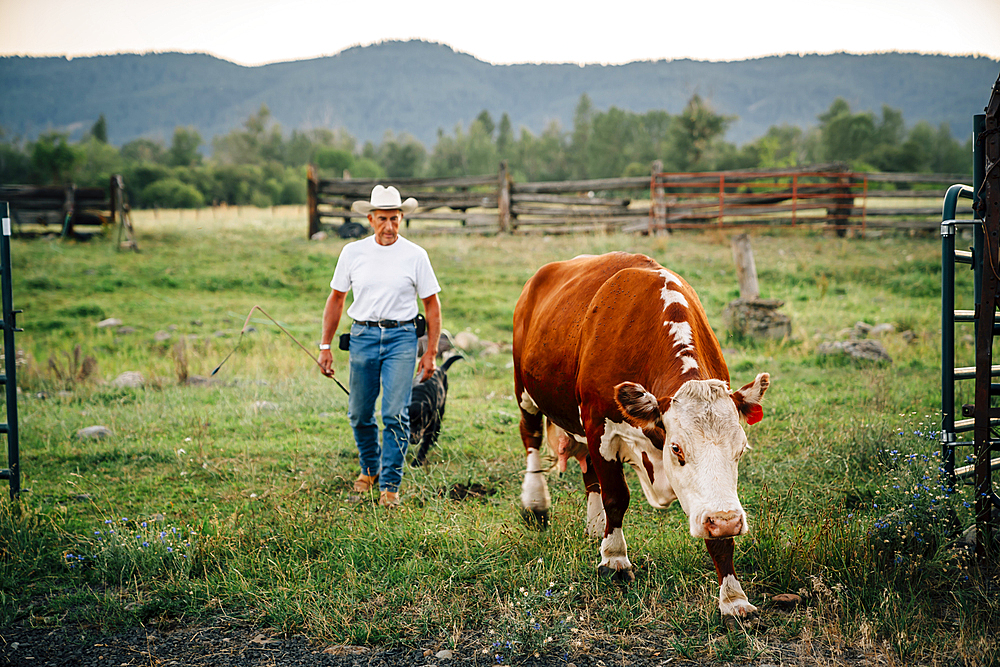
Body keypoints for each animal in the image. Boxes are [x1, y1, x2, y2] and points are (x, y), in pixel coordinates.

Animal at [512, 252, 768, 628]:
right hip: (525, 390)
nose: (726, 521)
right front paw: (615, 559)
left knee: (588, 472)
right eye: (677, 448)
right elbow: (617, 496)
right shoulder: (598, 424)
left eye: (740, 449)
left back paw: (595, 525)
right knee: (530, 437)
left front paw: (733, 599)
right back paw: (536, 503)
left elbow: (719, 538)